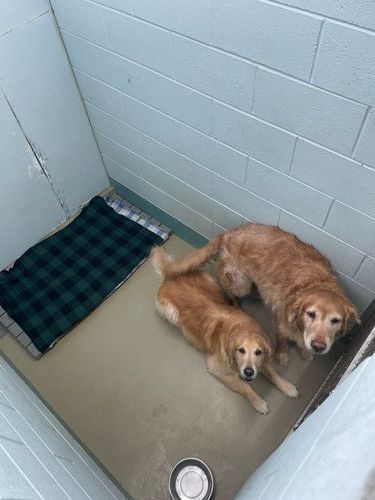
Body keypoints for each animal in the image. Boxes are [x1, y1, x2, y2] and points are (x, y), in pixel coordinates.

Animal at [151, 246, 300, 414]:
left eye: (258, 352)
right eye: (241, 350)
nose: (249, 372)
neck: (240, 328)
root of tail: (169, 274)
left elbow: (273, 374)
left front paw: (286, 386)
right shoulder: (215, 367)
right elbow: (244, 386)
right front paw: (258, 402)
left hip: (212, 281)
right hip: (171, 313)